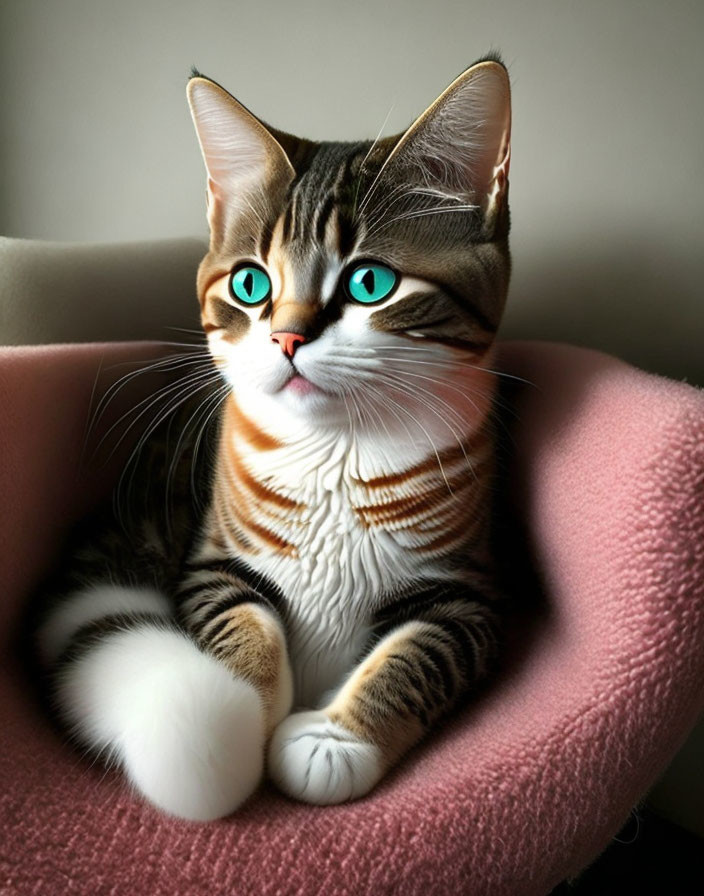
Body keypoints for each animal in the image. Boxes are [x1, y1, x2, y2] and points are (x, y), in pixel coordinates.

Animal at [33, 56, 512, 824]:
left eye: (370, 282)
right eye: (251, 284)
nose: (286, 337)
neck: (337, 450)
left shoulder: (469, 592)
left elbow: (421, 655)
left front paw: (335, 740)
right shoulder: (211, 563)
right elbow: (243, 629)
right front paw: (236, 725)